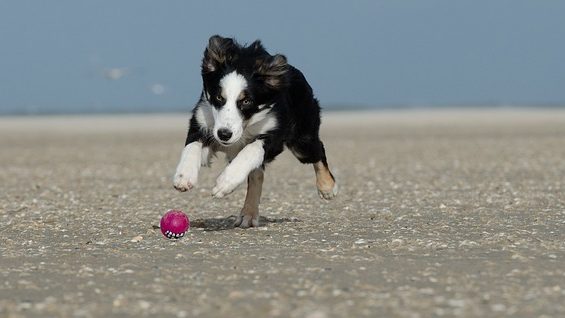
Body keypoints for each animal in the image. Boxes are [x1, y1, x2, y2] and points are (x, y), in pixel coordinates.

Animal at [173, 36, 334, 227]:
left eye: (246, 101)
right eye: (219, 97)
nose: (224, 134)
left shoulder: (275, 134)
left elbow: (251, 149)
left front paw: (225, 183)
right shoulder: (202, 122)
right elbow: (192, 146)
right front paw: (184, 176)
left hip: (302, 141)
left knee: (318, 150)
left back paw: (327, 187)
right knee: (257, 175)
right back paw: (248, 214)